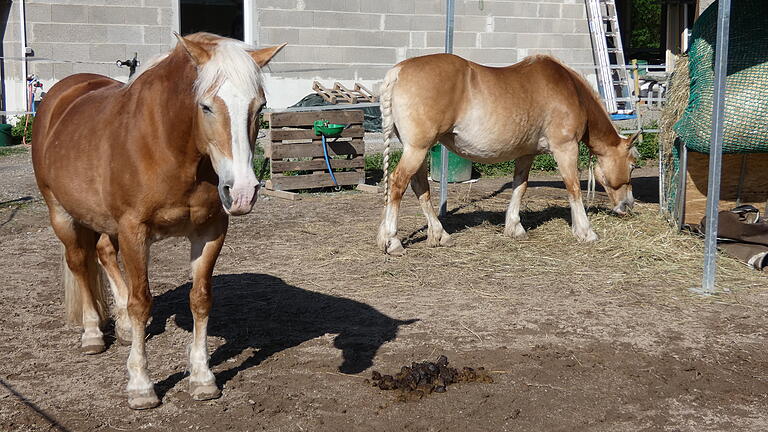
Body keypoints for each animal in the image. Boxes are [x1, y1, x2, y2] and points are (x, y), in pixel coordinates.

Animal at [31, 33, 286, 408]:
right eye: (206, 106)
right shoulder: (134, 231)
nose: (241, 192)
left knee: (104, 254)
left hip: (103, 221)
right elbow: (141, 301)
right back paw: (92, 334)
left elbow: (200, 299)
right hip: (61, 214)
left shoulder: (210, 231)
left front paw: (202, 378)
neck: (168, 145)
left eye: (260, 107)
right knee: (79, 262)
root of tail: (60, 95)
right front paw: (141, 385)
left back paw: (121, 328)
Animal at [376, 54, 640, 256]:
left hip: (416, 150)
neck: (571, 91)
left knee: (420, 187)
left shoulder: (526, 154)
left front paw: (514, 227)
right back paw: (393, 241)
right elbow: (573, 188)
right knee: (398, 183)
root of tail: (397, 72)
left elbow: (519, 186)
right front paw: (585, 231)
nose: (628, 205)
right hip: (417, 149)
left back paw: (439, 235)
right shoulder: (565, 149)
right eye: (632, 165)